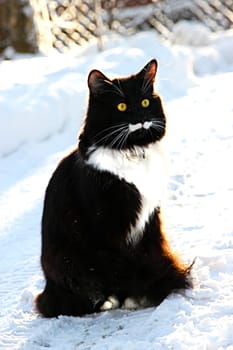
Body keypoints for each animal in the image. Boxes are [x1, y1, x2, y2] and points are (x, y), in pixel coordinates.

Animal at [36, 59, 191, 318]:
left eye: (145, 102)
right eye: (121, 106)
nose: (140, 117)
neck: (133, 150)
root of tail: (48, 288)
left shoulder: (150, 219)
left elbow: (155, 252)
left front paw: (160, 284)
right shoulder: (105, 228)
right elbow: (121, 266)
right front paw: (137, 295)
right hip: (65, 259)